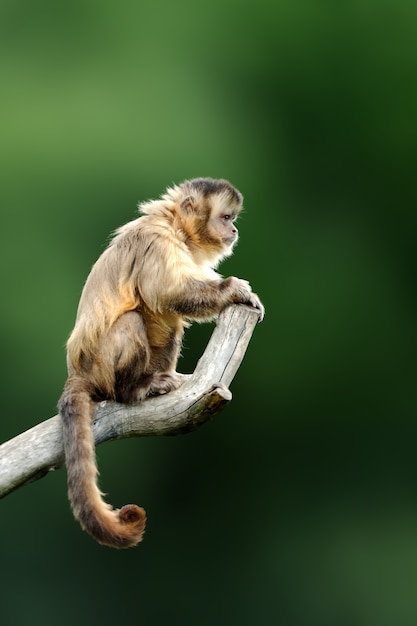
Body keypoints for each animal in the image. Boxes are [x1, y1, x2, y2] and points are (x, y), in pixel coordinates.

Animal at [58, 177, 264, 544]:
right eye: (226, 217)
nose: (234, 229)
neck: (176, 227)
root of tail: (77, 372)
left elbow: (170, 303)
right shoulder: (157, 241)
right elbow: (167, 293)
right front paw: (233, 290)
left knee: (167, 322)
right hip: (100, 369)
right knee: (135, 320)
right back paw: (134, 390)